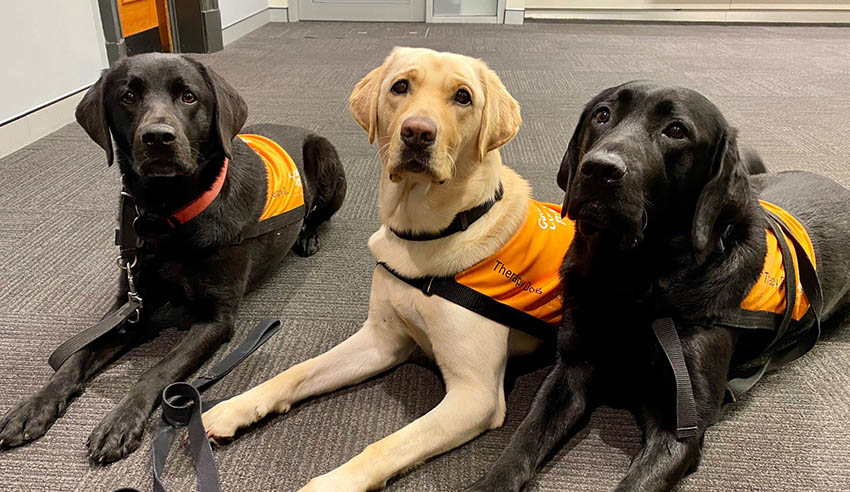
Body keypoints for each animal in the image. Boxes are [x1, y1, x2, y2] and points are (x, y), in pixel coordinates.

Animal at [0, 54, 344, 466]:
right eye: (128, 95)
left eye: (189, 96)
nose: (158, 137)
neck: (167, 215)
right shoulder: (132, 304)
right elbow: (78, 355)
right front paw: (35, 405)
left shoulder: (215, 320)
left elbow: (159, 369)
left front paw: (121, 420)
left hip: (328, 162)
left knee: (319, 215)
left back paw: (308, 235)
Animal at [201, 48, 568, 490]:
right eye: (400, 86)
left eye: (463, 97)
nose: (417, 133)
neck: (423, 236)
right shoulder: (382, 340)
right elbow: (296, 371)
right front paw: (237, 406)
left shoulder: (475, 393)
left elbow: (387, 445)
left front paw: (329, 483)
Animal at [468, 81, 848, 492]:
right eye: (602, 114)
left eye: (676, 130)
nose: (599, 169)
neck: (630, 278)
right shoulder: (569, 369)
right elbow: (522, 441)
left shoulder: (679, 422)